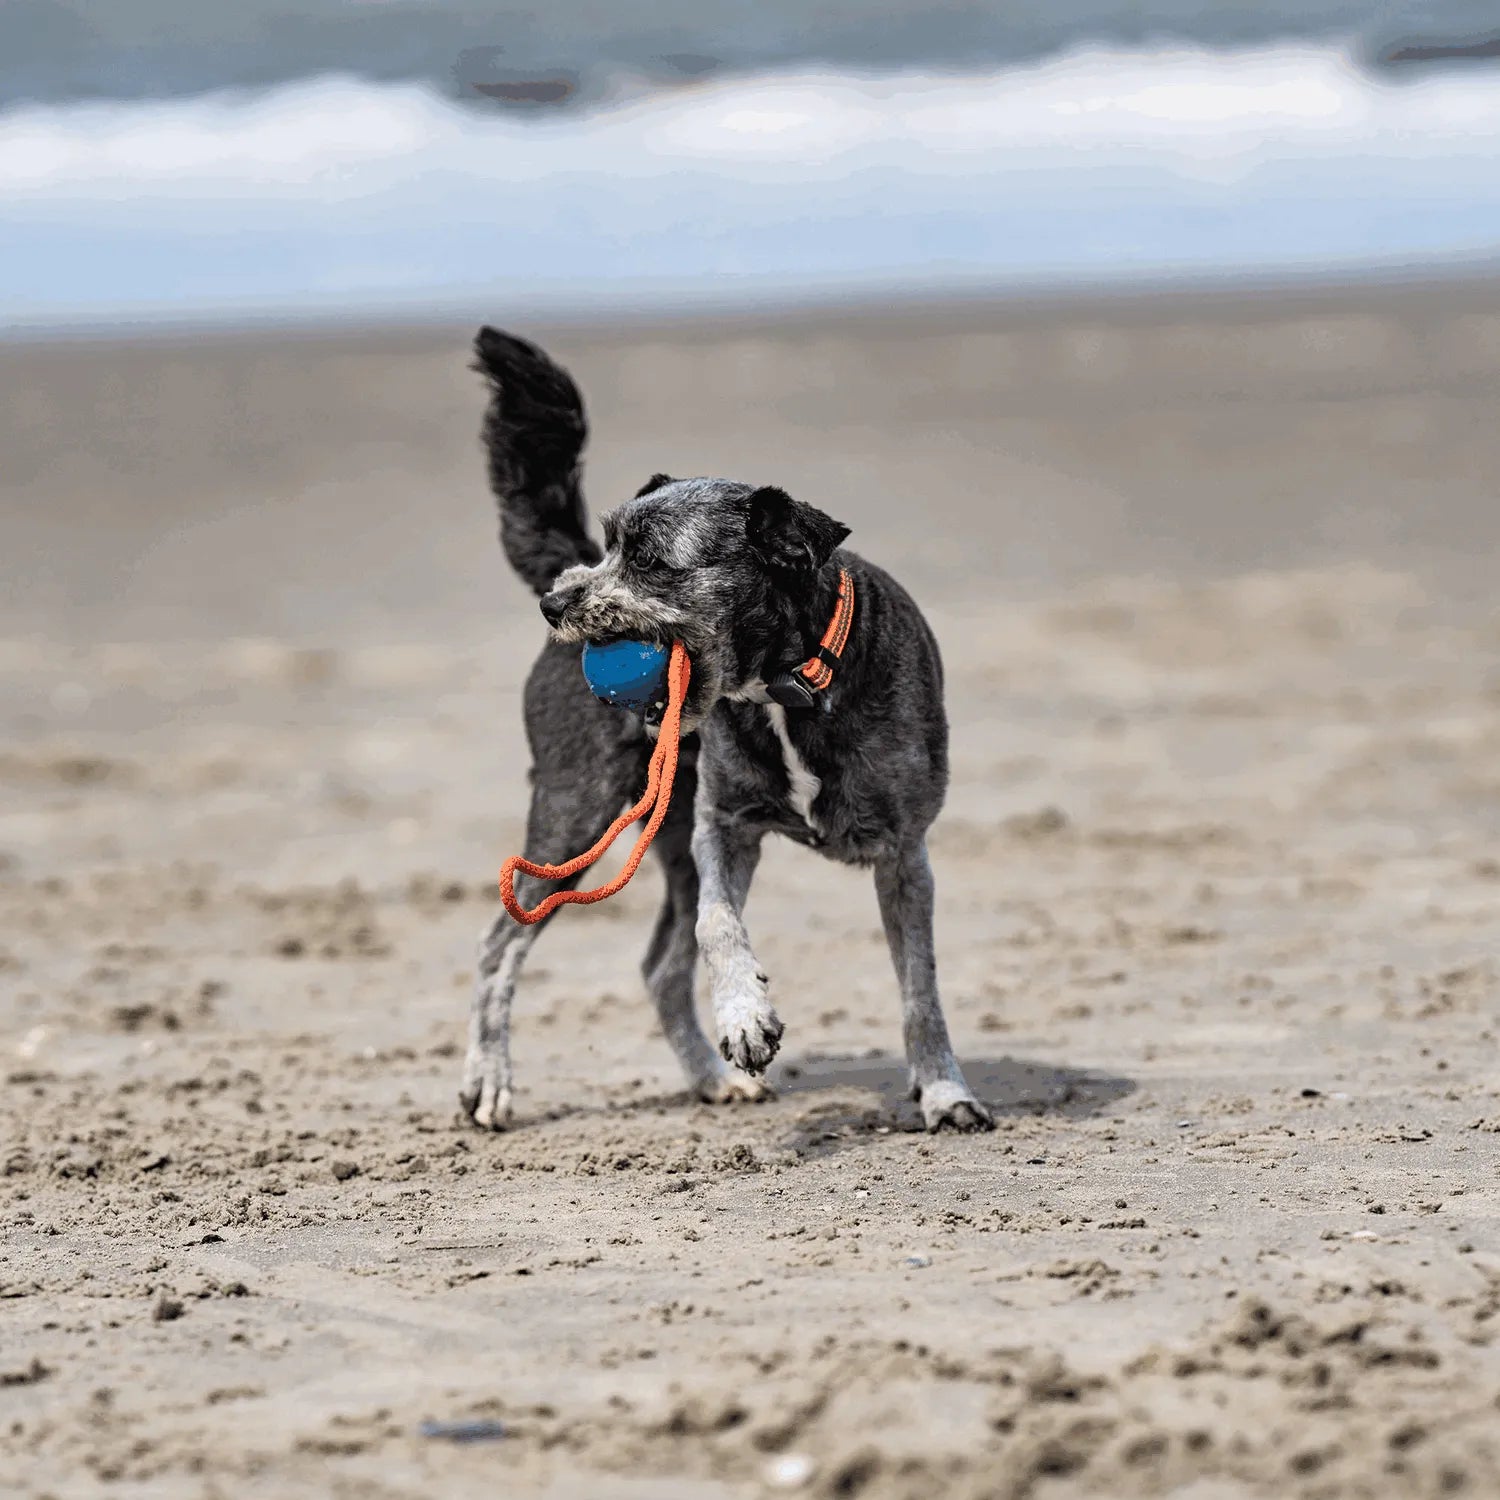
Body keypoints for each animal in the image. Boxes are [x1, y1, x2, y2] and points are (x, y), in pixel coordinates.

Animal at [462, 322, 990, 1128]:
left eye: (649, 561)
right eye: (611, 547)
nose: (554, 604)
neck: (793, 685)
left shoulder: (906, 852)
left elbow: (918, 988)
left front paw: (944, 1092)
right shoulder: (722, 825)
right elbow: (718, 924)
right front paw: (746, 1017)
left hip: (657, 826)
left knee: (657, 965)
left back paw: (711, 1079)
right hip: (578, 813)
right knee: (503, 943)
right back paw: (489, 1077)